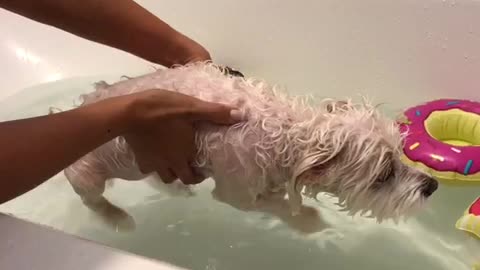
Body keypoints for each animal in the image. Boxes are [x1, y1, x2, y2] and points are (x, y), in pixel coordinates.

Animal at [62, 62, 436, 233]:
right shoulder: (236, 192)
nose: (431, 185)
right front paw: (309, 221)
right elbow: (276, 205)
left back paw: (177, 191)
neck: (285, 134)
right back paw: (118, 219)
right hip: (86, 173)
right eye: (384, 175)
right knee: (92, 199)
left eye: (400, 153)